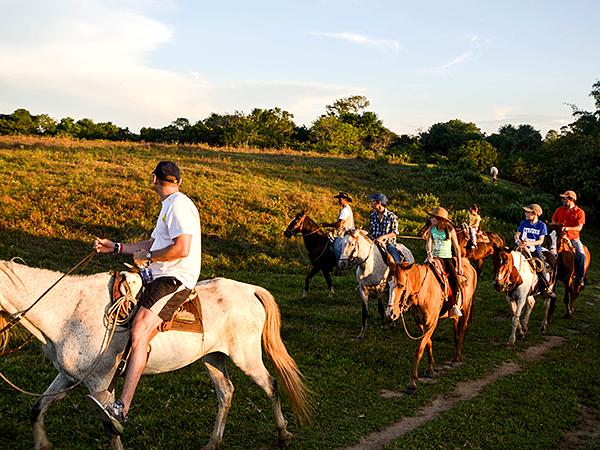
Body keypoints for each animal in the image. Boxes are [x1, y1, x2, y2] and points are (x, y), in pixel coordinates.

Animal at [0, 260, 310, 450]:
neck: (69, 311)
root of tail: (250, 290)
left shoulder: (100, 386)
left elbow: (111, 427)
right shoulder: (68, 376)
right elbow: (37, 408)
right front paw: (42, 444)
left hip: (246, 357)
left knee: (270, 384)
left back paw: (283, 435)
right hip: (213, 358)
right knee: (226, 393)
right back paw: (213, 442)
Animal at [384, 258, 478, 392]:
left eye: (401, 285)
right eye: (387, 284)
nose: (390, 314)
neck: (423, 293)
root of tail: (468, 264)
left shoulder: (431, 323)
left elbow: (419, 348)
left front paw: (412, 381)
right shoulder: (420, 323)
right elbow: (428, 343)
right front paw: (430, 369)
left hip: (467, 307)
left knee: (462, 329)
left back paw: (457, 357)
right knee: (456, 328)